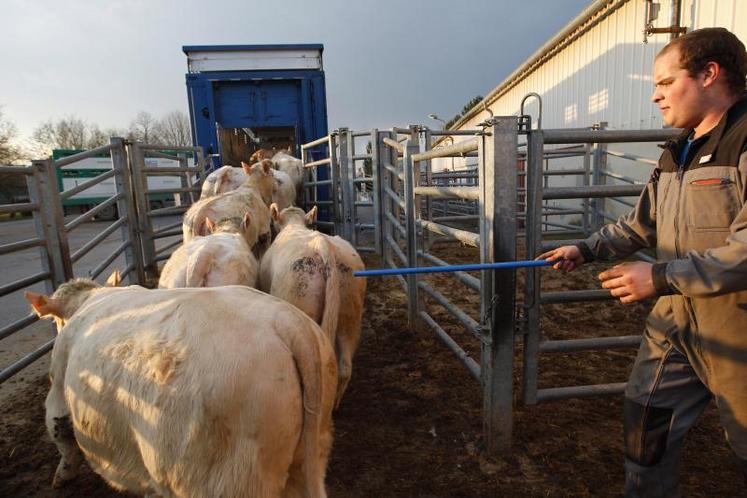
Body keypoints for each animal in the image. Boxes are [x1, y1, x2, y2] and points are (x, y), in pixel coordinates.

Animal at [24, 278, 338, 496]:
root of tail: (288, 323)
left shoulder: (58, 390)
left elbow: (62, 434)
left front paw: (62, 476)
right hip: (310, 452)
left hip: (227, 481)